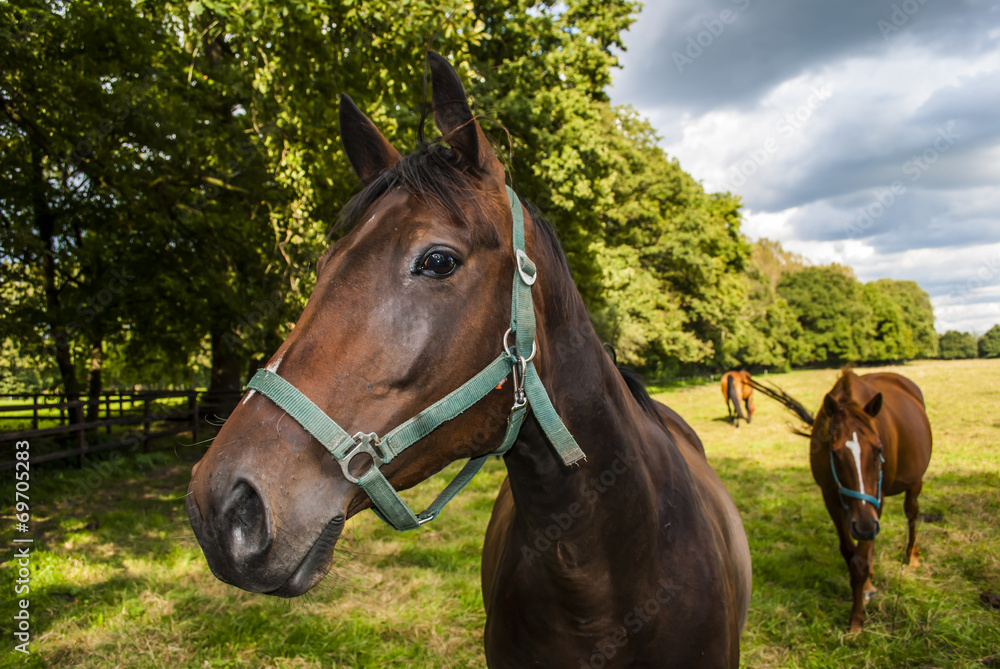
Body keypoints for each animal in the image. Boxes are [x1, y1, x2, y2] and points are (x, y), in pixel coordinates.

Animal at [749, 369, 932, 632]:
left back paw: (912, 556)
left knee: (911, 514)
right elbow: (851, 554)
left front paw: (857, 619)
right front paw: (859, 605)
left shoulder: (875, 499)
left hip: (913, 483)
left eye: (879, 449)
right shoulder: (832, 498)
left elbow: (862, 553)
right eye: (834, 453)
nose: (864, 525)